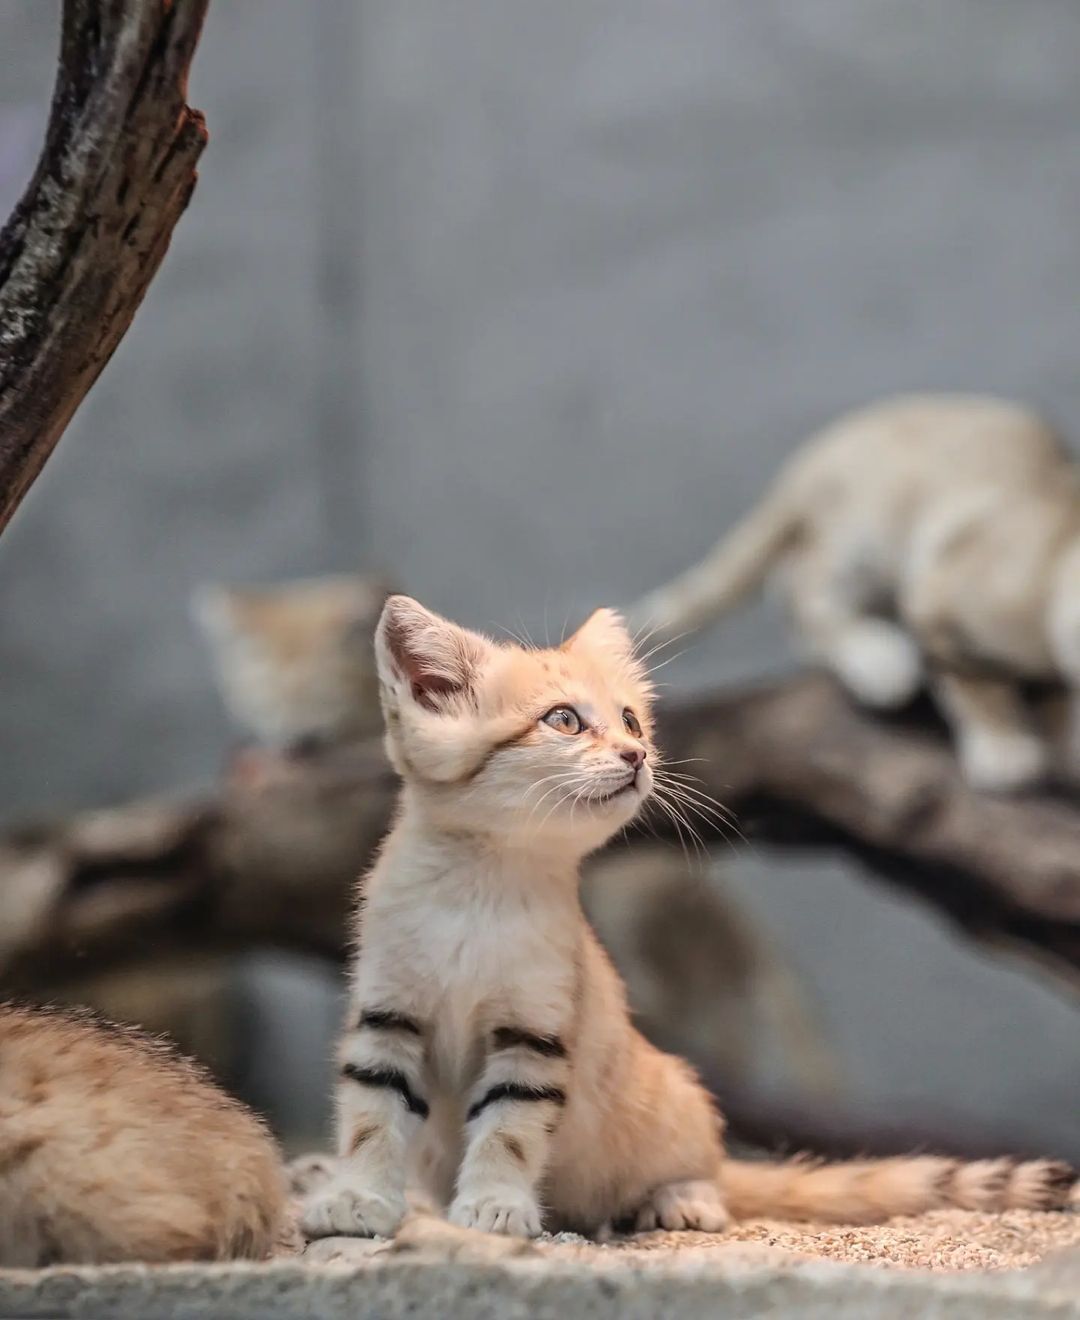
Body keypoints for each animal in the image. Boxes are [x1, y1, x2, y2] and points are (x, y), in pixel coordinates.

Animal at [297, 599, 1066, 1235]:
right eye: (564, 719)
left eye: (632, 721)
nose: (637, 755)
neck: (482, 885)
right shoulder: (387, 1013)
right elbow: (370, 1119)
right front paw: (358, 1198)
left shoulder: (534, 1031)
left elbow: (510, 1131)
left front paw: (494, 1205)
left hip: (679, 1099)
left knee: (706, 1173)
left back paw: (682, 1199)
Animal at [625, 385, 1077, 786]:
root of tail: (810, 456)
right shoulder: (937, 588)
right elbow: (971, 679)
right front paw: (1005, 747)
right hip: (865, 536)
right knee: (806, 589)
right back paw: (879, 659)